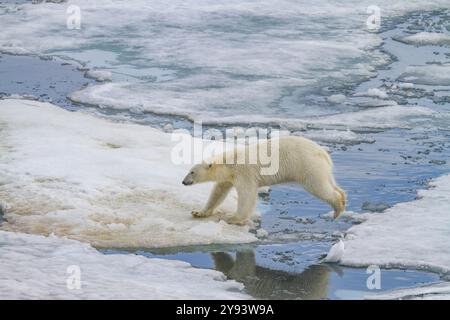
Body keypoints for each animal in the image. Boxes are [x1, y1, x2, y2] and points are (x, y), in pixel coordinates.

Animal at [181, 136, 346, 225]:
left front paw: (233, 218)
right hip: (319, 168)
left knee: (319, 187)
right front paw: (198, 212)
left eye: (192, 172)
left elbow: (247, 195)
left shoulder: (244, 172)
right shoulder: (229, 177)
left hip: (307, 166)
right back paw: (342, 197)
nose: (183, 182)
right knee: (330, 183)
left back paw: (338, 208)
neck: (230, 162)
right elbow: (218, 192)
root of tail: (323, 153)